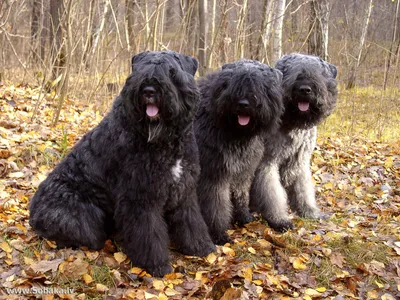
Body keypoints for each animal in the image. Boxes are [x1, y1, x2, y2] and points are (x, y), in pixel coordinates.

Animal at [28, 49, 216, 276]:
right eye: (140, 71)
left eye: (171, 72)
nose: (149, 90)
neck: (165, 140)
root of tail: (33, 213)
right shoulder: (141, 197)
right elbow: (149, 233)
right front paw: (157, 265)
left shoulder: (184, 188)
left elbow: (192, 221)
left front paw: (202, 248)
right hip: (79, 214)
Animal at [195, 59, 284, 245]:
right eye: (232, 84)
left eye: (260, 86)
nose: (243, 104)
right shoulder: (214, 174)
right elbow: (216, 206)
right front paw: (218, 234)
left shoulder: (243, 169)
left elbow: (241, 194)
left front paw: (243, 217)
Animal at [250, 53, 338, 232]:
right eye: (291, 71)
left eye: (319, 73)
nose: (305, 89)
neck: (292, 124)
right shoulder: (267, 163)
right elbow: (272, 194)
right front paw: (279, 219)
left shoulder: (300, 161)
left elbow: (303, 189)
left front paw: (310, 211)